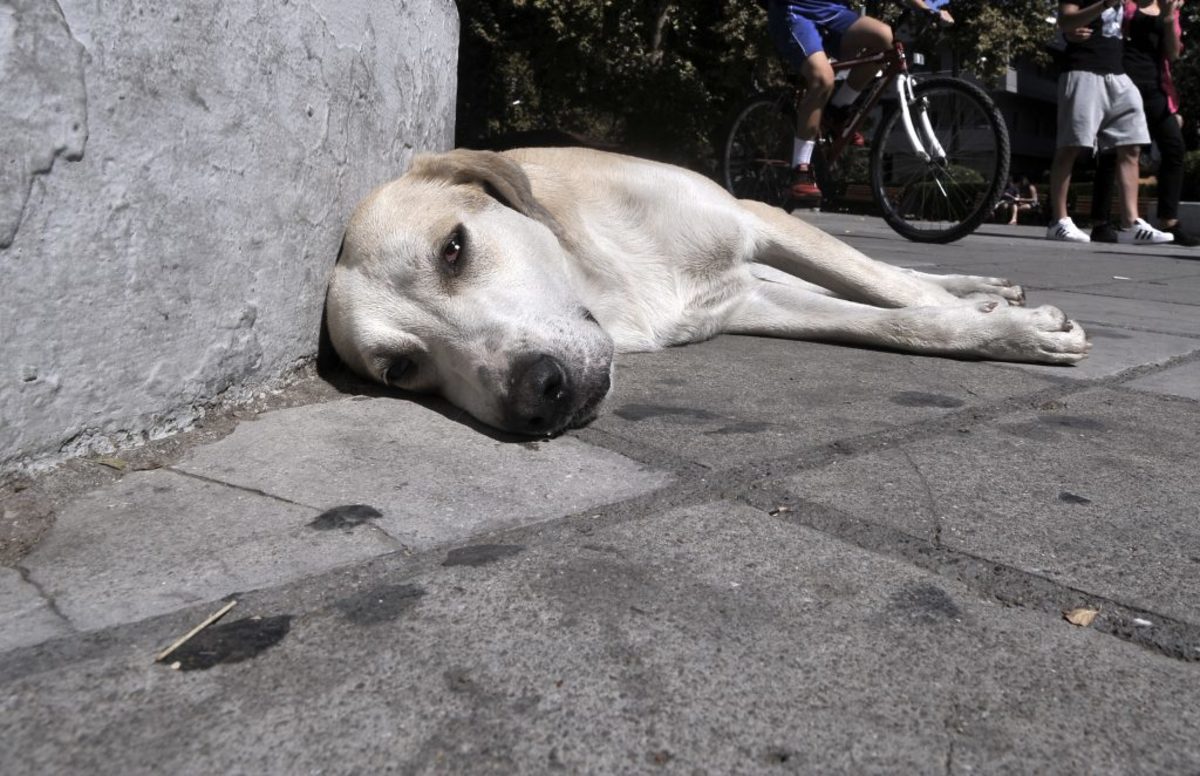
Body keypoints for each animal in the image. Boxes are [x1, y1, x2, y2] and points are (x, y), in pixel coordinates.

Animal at [326, 147, 1089, 436]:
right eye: (401, 370)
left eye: (452, 249)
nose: (538, 396)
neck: (609, 280)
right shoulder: (750, 303)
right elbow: (890, 320)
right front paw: (994, 326)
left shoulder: (757, 217)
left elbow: (888, 287)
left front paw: (1012, 325)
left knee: (892, 271)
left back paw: (985, 286)